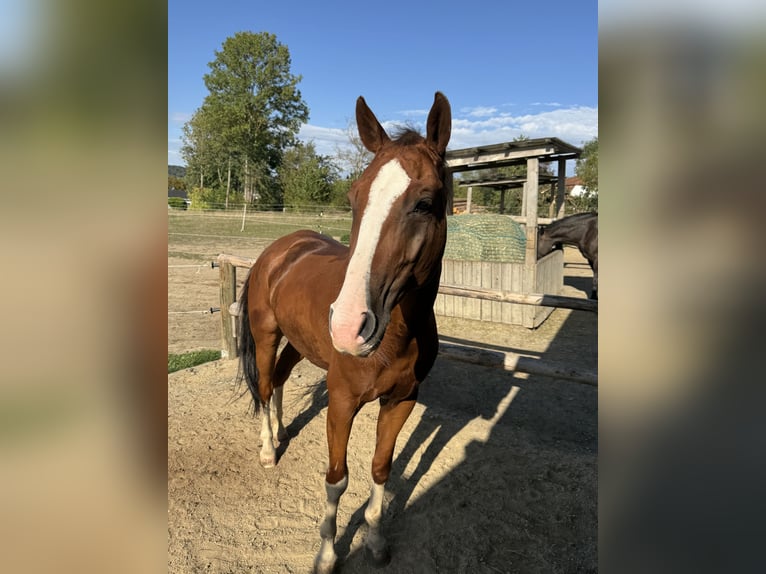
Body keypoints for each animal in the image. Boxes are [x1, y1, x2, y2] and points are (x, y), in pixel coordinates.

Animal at [237, 92, 451, 573]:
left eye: (425, 202)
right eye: (355, 199)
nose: (349, 324)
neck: (396, 337)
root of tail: (280, 249)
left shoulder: (401, 401)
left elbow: (380, 470)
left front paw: (375, 541)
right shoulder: (341, 402)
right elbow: (337, 479)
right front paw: (327, 554)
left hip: (299, 344)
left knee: (279, 380)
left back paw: (282, 432)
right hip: (266, 335)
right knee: (264, 385)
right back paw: (267, 449)